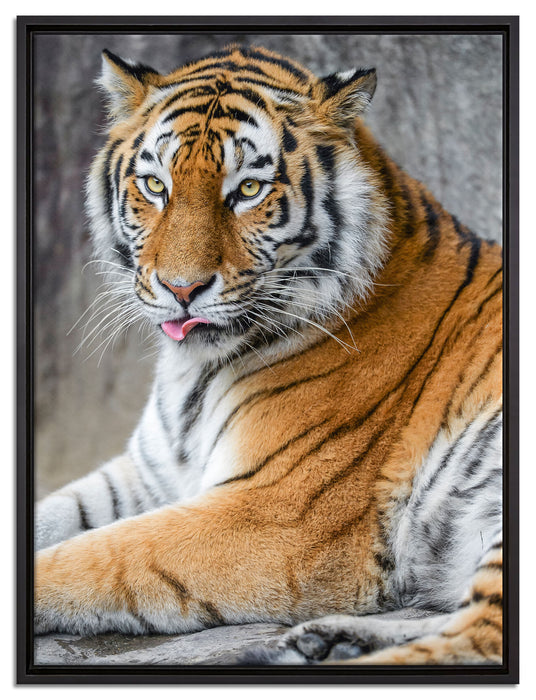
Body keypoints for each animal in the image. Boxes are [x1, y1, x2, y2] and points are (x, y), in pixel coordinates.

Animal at [34, 45, 503, 666]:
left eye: (249, 191)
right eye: (155, 185)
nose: (181, 289)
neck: (194, 372)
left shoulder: (274, 513)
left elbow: (97, 555)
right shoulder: (149, 475)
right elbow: (55, 514)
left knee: (477, 638)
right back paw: (326, 642)